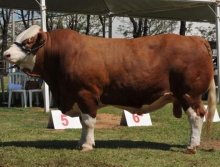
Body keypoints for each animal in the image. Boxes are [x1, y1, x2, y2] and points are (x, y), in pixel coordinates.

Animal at [3, 25, 217, 154]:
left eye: (28, 41)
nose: (5, 53)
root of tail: (194, 39)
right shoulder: (78, 97)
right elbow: (82, 123)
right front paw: (81, 142)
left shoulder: (85, 94)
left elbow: (88, 121)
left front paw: (87, 145)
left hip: (189, 94)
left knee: (196, 116)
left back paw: (192, 146)